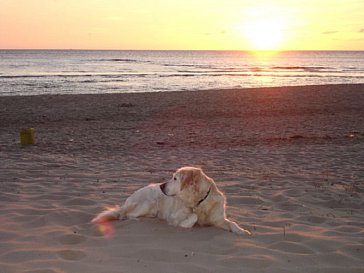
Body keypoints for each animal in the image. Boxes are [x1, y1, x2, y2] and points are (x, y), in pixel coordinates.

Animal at [92, 166, 250, 234]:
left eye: (175, 178)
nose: (161, 186)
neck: (200, 202)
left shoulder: (218, 219)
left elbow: (232, 223)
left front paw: (242, 231)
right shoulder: (173, 215)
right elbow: (193, 216)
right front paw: (186, 224)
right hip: (149, 203)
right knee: (126, 214)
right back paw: (136, 219)